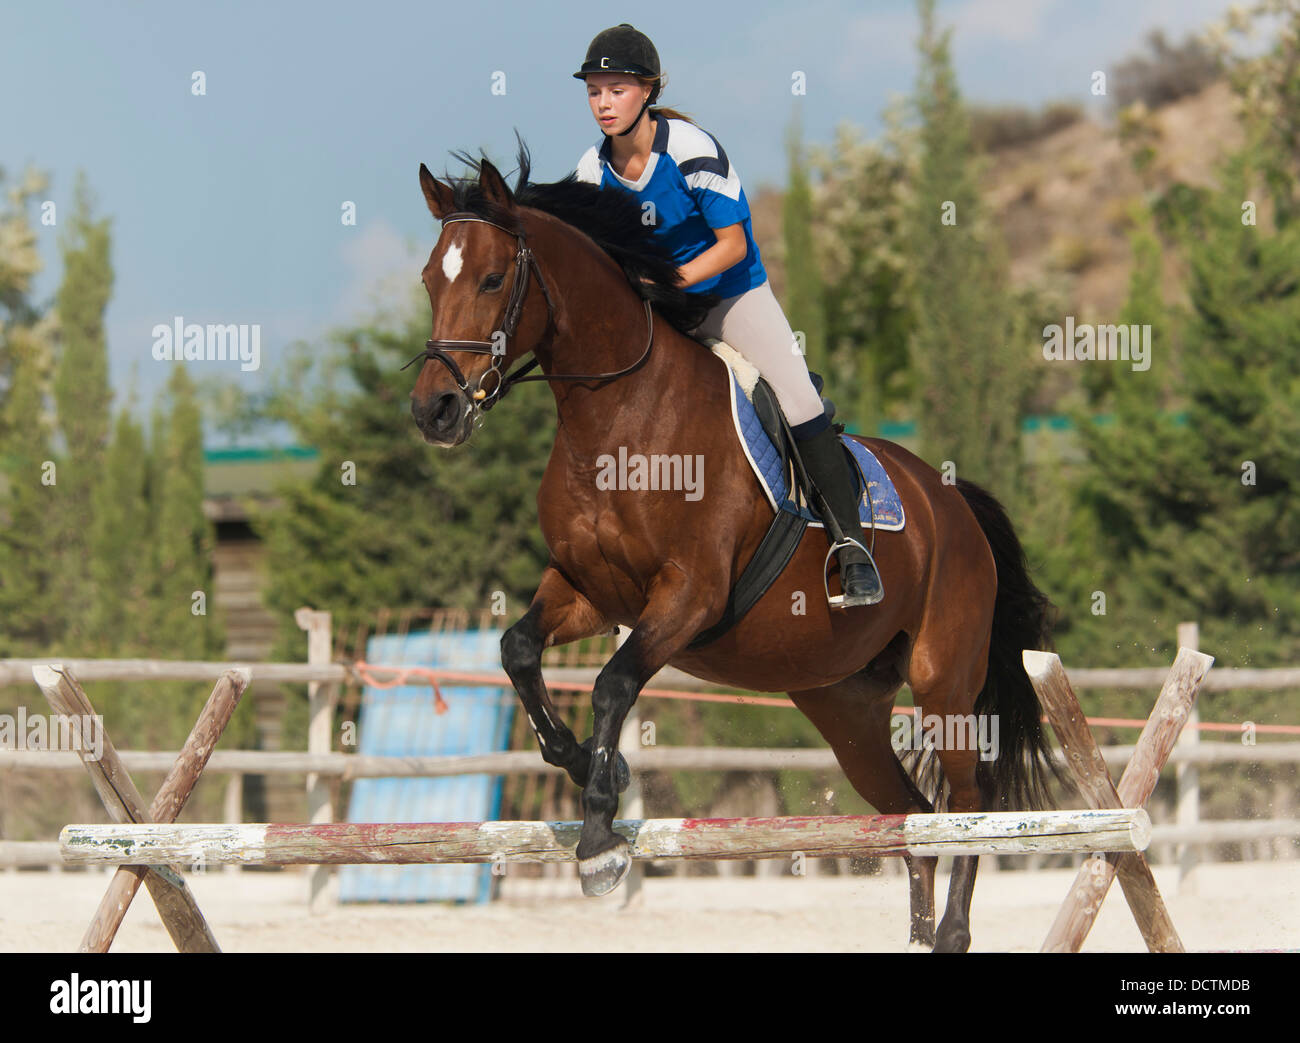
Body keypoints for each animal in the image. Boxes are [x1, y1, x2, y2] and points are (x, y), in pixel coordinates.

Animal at [407, 143, 1064, 952]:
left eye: (494, 278)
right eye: (431, 278)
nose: (435, 410)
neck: (617, 416)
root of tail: (952, 500)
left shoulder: (690, 594)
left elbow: (613, 685)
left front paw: (599, 839)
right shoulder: (586, 590)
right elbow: (519, 651)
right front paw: (586, 766)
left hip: (944, 680)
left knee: (966, 804)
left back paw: (949, 933)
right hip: (844, 705)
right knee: (908, 812)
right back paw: (916, 933)